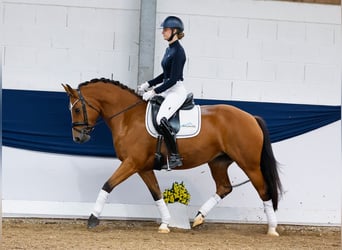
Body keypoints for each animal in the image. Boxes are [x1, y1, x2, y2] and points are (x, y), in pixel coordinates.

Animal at [62, 78, 282, 236]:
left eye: (77, 109)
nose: (78, 138)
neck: (128, 118)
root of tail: (251, 117)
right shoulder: (143, 167)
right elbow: (157, 193)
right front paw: (165, 224)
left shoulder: (131, 163)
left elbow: (108, 185)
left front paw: (92, 218)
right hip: (218, 162)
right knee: (224, 187)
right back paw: (199, 218)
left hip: (249, 164)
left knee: (263, 190)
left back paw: (272, 229)